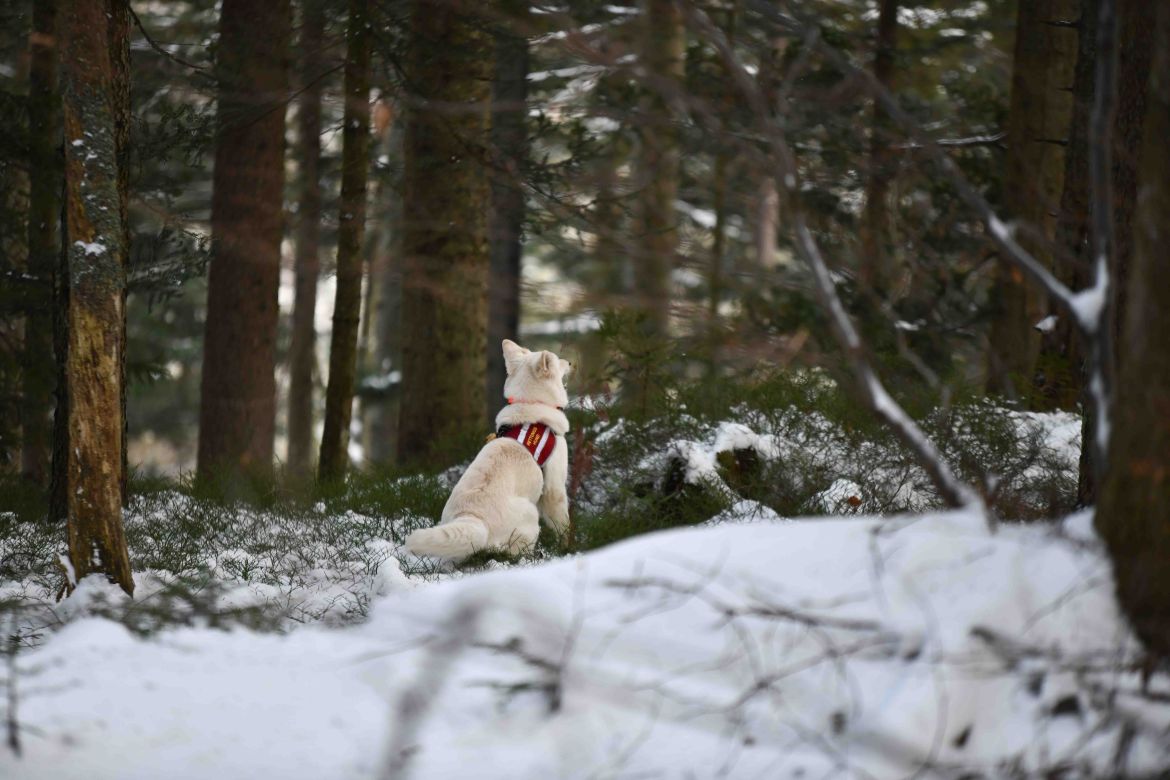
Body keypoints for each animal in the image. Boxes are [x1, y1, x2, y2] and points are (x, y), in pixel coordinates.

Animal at [404, 341, 573, 561]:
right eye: (557, 360)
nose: (570, 362)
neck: (530, 404)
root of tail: (472, 518)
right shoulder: (554, 488)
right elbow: (564, 525)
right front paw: (567, 548)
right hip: (530, 513)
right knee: (511, 552)